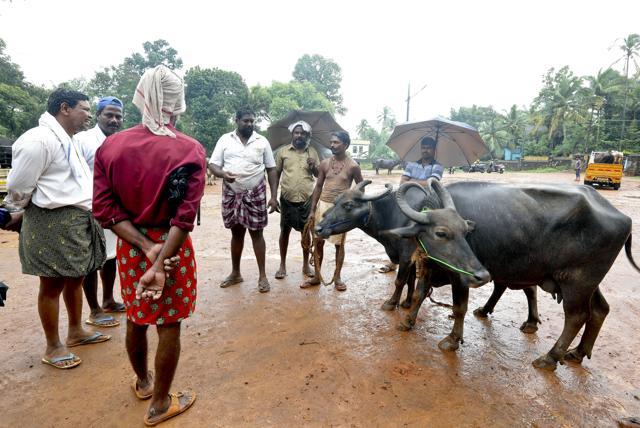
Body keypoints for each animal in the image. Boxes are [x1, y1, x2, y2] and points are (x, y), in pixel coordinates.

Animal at [392, 179, 640, 370]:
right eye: (441, 233)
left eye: (465, 231)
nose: (482, 274)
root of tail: (623, 217)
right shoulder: (428, 267)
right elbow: (419, 294)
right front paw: (407, 321)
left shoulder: (460, 277)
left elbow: (459, 307)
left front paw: (452, 340)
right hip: (589, 283)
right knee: (600, 310)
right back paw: (577, 352)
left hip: (576, 282)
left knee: (576, 317)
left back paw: (550, 358)